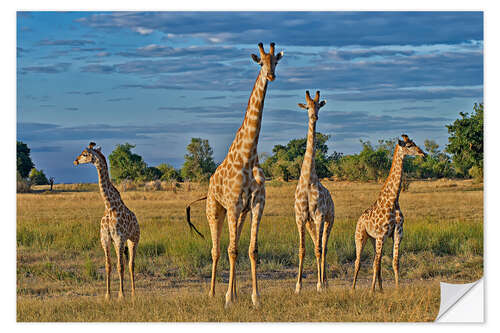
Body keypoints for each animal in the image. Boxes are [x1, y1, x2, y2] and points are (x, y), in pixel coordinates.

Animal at [186, 42, 284, 308]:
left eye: (276, 61)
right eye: (261, 62)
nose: (271, 75)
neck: (248, 155)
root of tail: (209, 183)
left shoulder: (256, 204)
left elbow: (251, 250)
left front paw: (254, 298)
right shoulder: (232, 204)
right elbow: (230, 250)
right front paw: (228, 299)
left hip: (239, 213)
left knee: (235, 245)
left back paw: (236, 292)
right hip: (215, 210)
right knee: (217, 250)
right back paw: (213, 293)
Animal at [352, 134, 426, 290]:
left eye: (414, 143)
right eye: (409, 145)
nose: (423, 153)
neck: (393, 200)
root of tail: (360, 218)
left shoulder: (397, 233)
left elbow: (395, 262)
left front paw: (396, 290)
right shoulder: (381, 235)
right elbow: (375, 264)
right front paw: (371, 291)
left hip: (373, 239)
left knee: (376, 261)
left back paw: (380, 290)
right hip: (360, 236)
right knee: (358, 261)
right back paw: (353, 289)